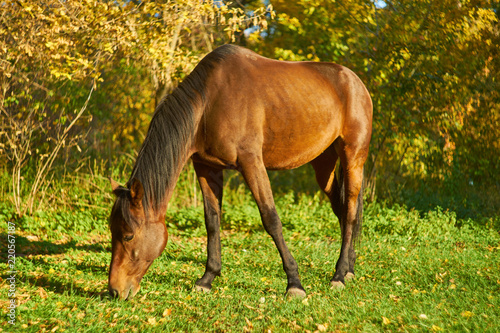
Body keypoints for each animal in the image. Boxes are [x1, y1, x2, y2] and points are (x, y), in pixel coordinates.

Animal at [107, 42, 372, 300]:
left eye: (128, 235)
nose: (114, 291)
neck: (208, 103)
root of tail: (354, 81)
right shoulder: (207, 167)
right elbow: (212, 221)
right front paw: (207, 279)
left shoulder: (251, 162)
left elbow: (271, 219)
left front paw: (294, 284)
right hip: (323, 167)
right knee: (341, 210)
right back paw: (349, 269)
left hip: (353, 158)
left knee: (350, 212)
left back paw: (338, 275)